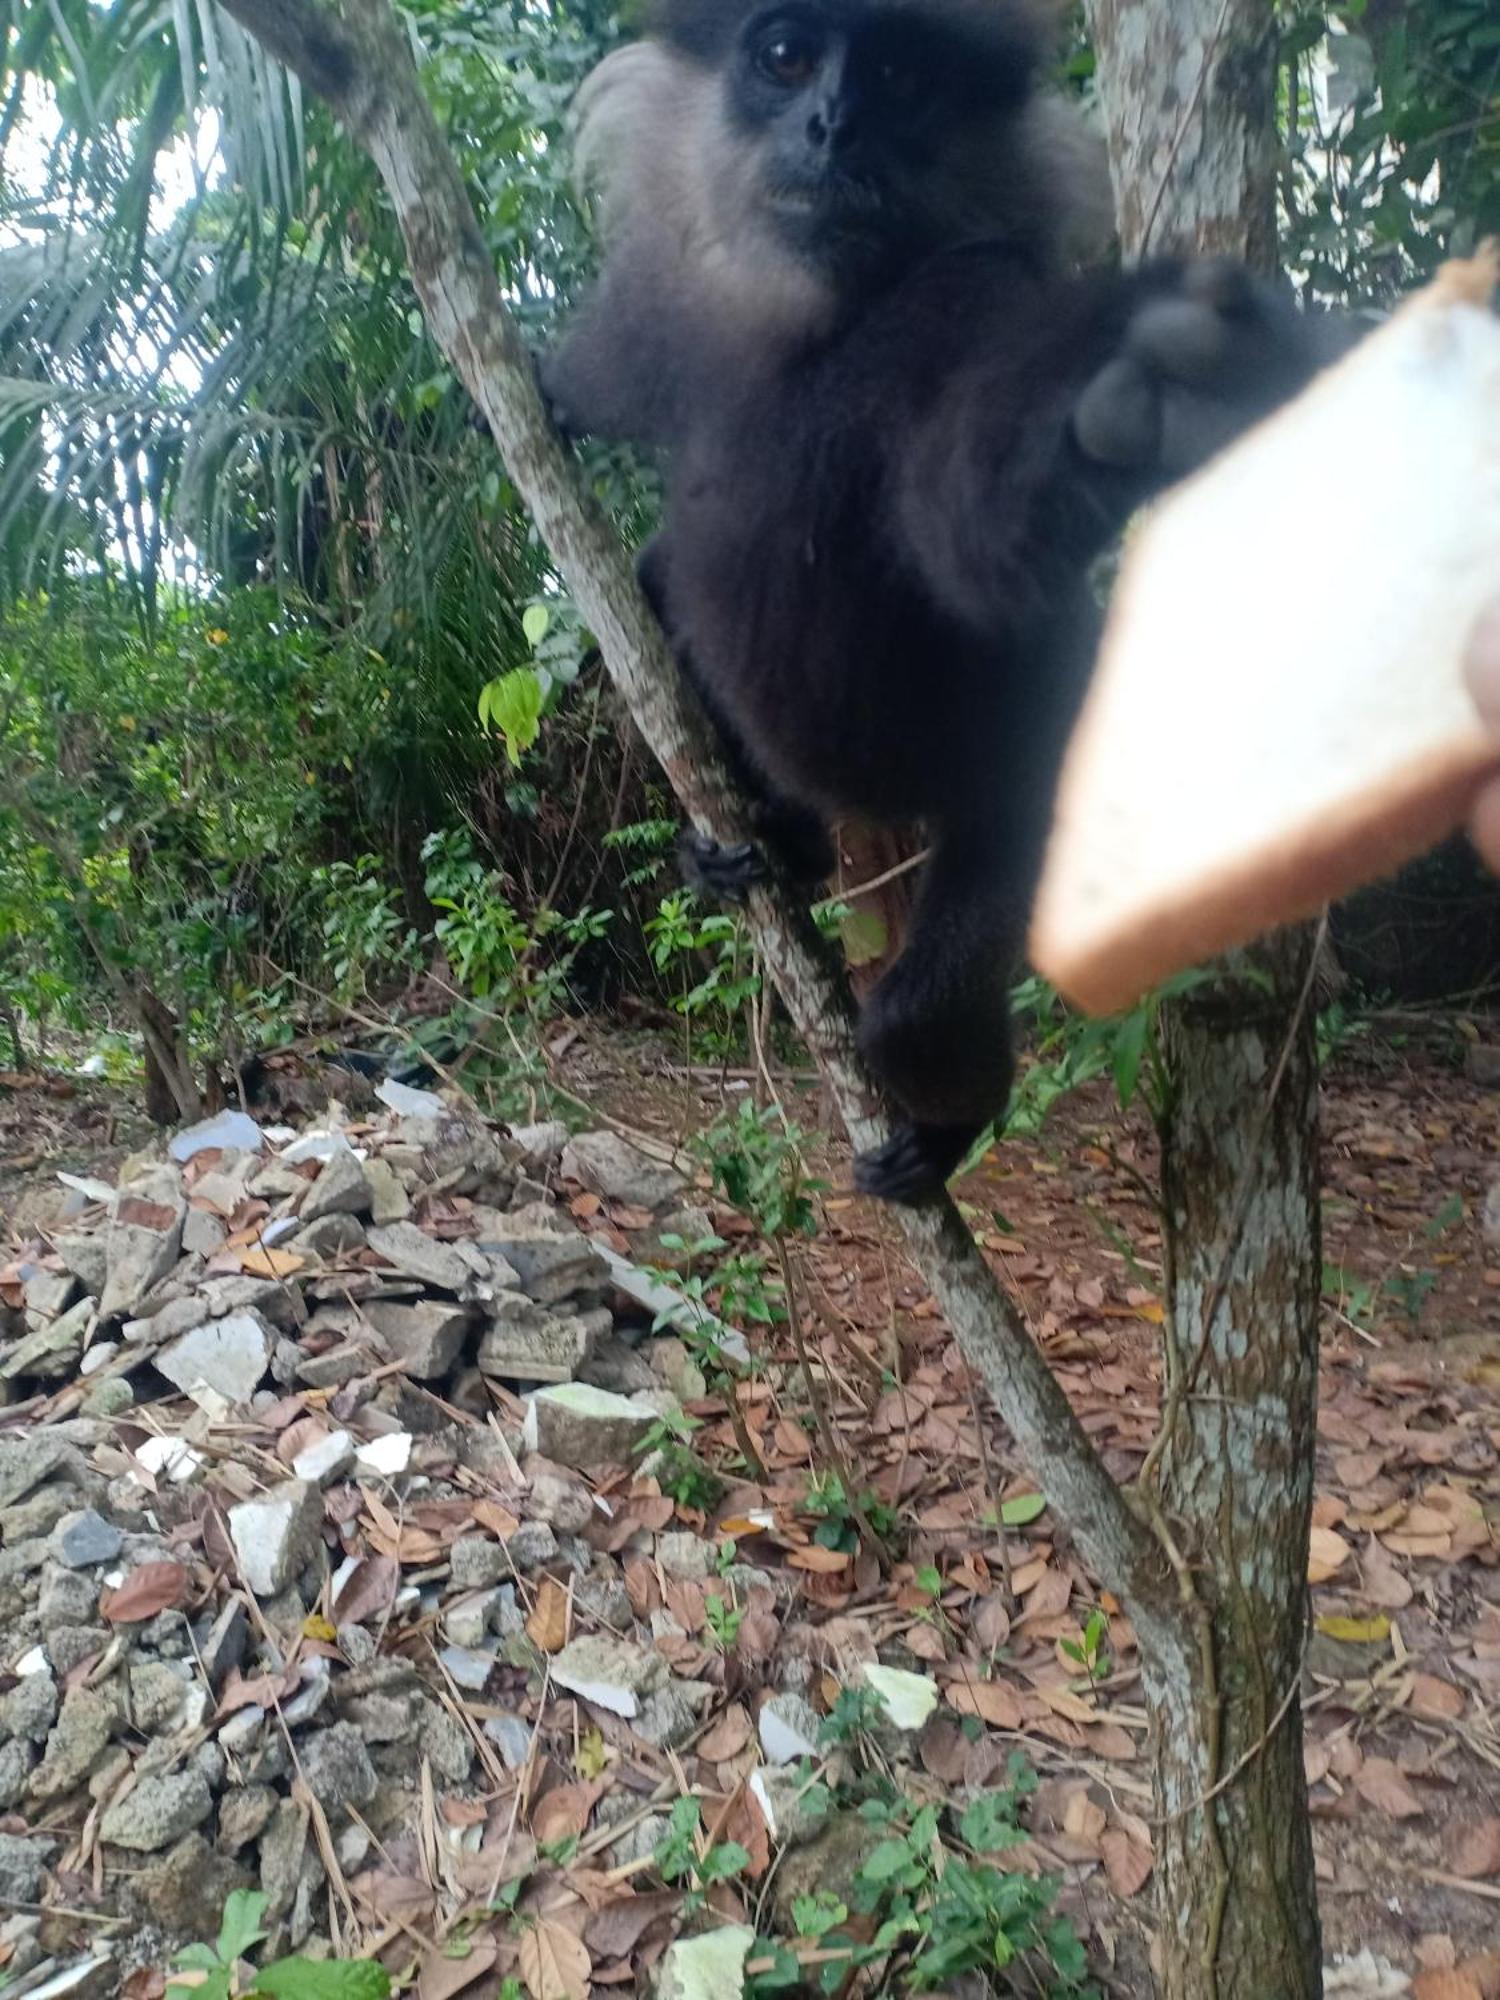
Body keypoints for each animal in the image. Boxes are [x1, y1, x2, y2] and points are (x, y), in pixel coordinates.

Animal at [544, 0, 1336, 1192]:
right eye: (786, 57)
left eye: (902, 80)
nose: (833, 124)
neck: (822, 327)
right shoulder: (668, 306)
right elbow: (600, 408)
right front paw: (529, 390)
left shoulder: (964, 309)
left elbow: (978, 526)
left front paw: (1143, 395)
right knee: (658, 586)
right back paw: (779, 843)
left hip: (1029, 791)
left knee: (915, 1014)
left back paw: (947, 1127)